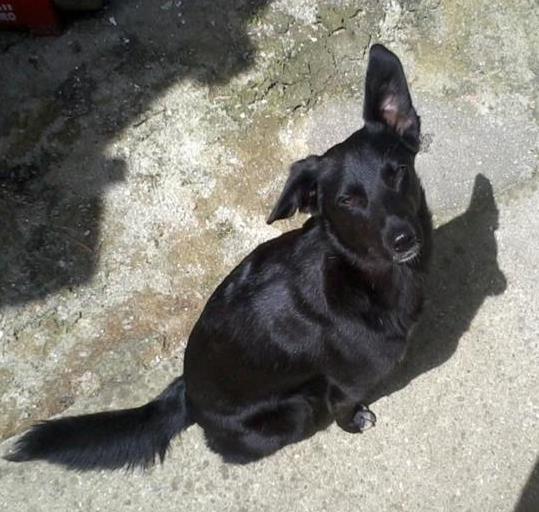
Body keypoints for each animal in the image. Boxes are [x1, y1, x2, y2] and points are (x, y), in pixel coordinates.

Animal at [5, 44, 432, 470]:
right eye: (347, 200)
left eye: (398, 172)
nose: (403, 238)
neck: (359, 275)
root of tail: (186, 395)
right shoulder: (345, 386)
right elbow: (343, 407)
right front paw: (355, 420)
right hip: (294, 411)